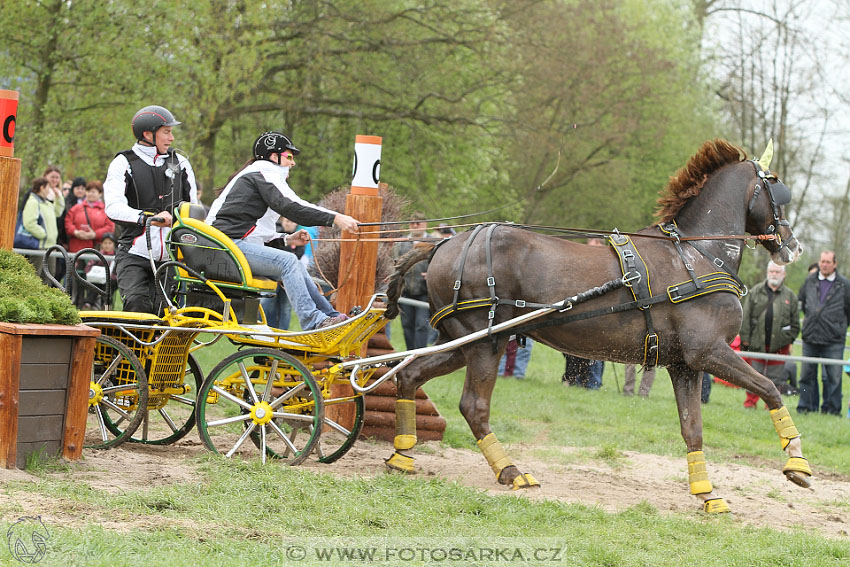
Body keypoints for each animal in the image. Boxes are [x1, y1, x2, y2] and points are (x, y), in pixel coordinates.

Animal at [384, 139, 808, 516]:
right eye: (776, 187)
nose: (793, 246)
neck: (696, 254)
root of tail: (444, 244)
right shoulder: (709, 351)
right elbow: (770, 389)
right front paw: (796, 462)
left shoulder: (685, 365)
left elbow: (693, 429)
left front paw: (707, 494)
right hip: (485, 343)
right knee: (473, 405)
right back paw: (510, 471)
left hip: (459, 342)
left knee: (409, 375)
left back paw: (403, 453)